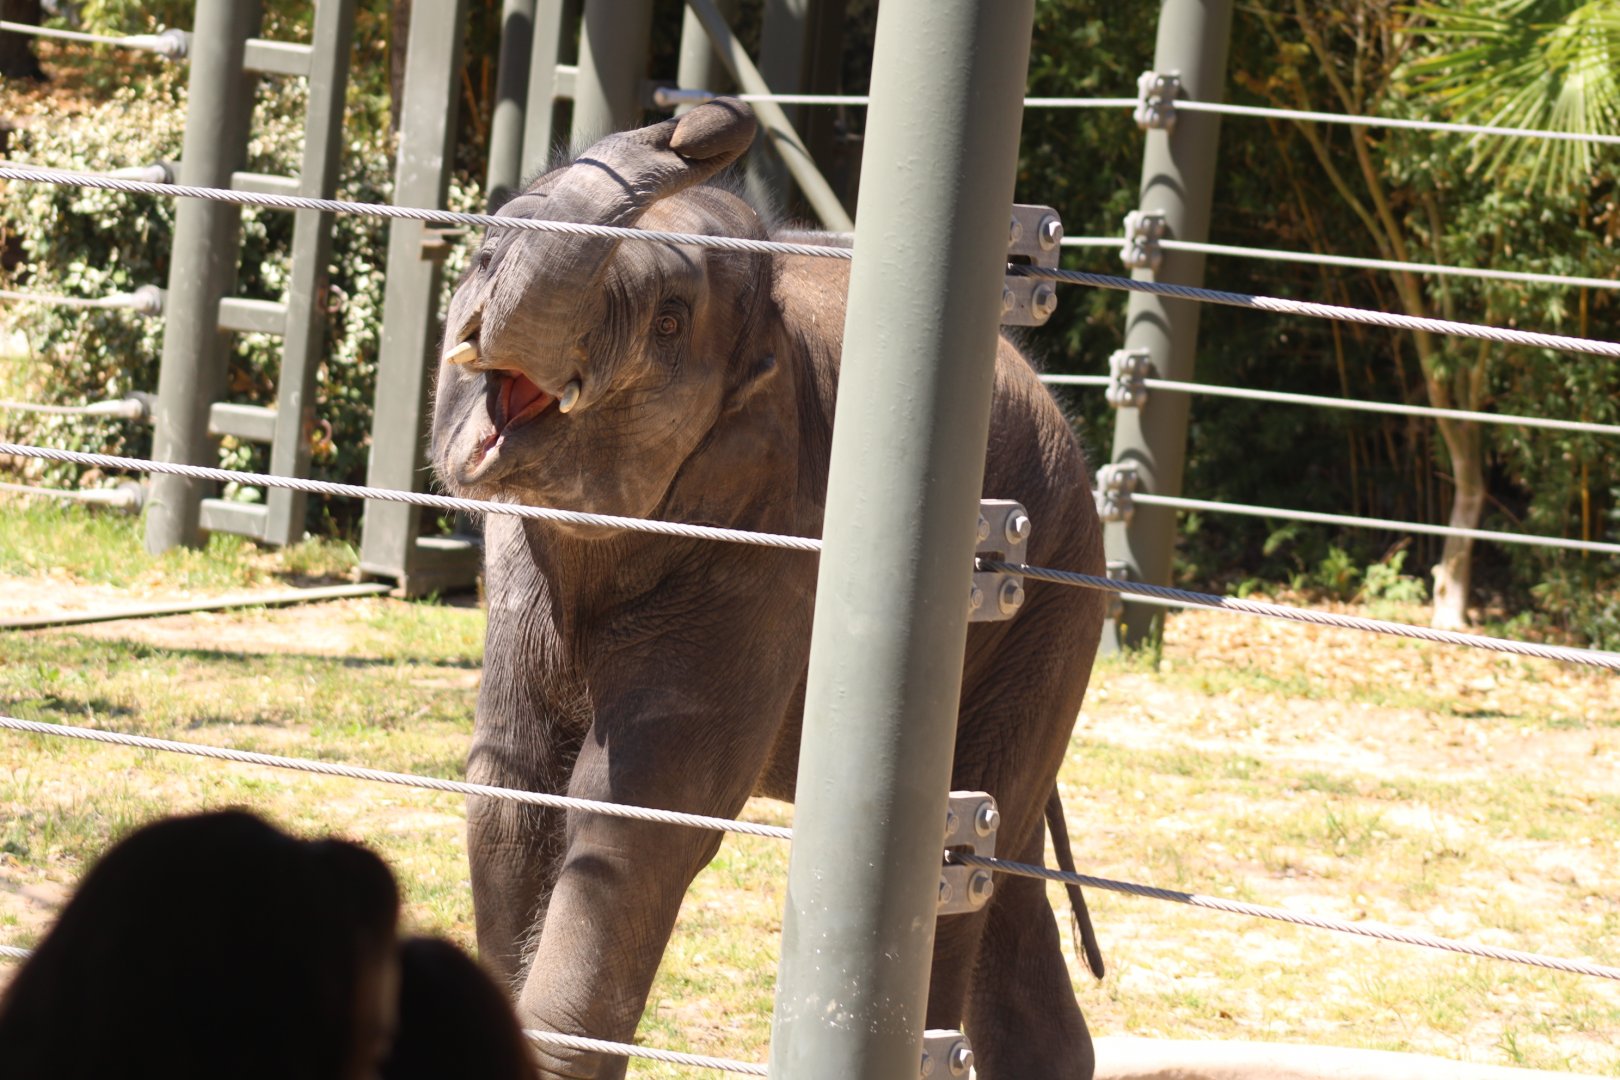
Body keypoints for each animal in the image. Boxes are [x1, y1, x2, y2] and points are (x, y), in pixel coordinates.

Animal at [430, 99, 1108, 1080]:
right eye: (485, 251)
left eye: (670, 322)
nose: (703, 121)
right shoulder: (521, 563)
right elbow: (510, 793)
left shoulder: (773, 537)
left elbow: (638, 812)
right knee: (1005, 868)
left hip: (1049, 606)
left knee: (967, 854)